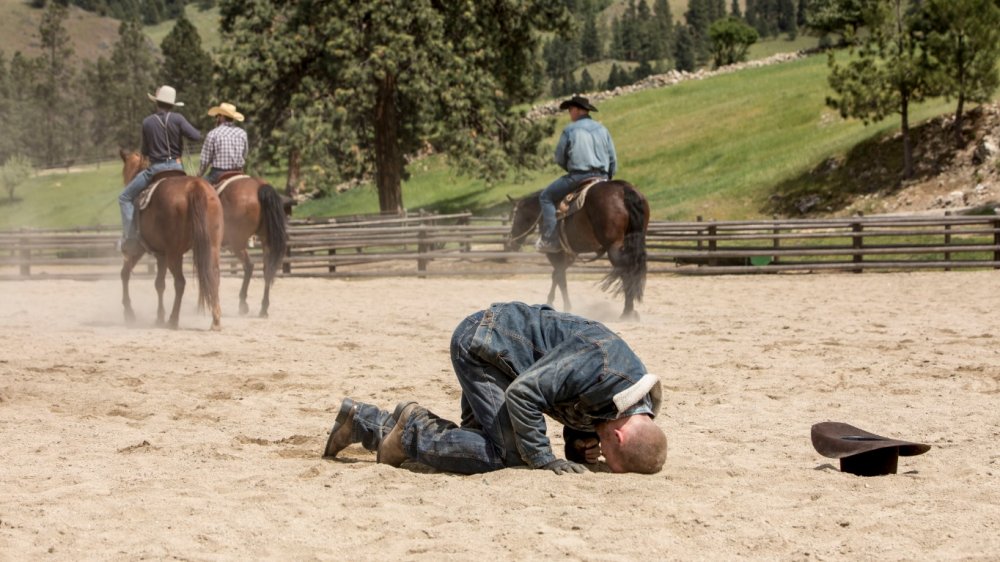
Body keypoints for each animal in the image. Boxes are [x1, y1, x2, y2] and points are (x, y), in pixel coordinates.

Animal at [119, 151, 225, 330]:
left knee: (180, 282)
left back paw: (173, 319)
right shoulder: (160, 254)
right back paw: (215, 321)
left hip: (173, 254)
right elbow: (159, 284)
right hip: (211, 247)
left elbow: (125, 274)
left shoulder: (140, 248)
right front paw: (159, 317)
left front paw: (129, 314)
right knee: (214, 276)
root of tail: (195, 186)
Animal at [212, 173, 288, 318]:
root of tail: (259, 186)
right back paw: (263, 309)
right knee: (267, 269)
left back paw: (243, 304)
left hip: (237, 243)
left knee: (249, 266)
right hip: (265, 241)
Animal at [504, 180, 652, 318]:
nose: (510, 244)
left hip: (614, 247)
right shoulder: (569, 254)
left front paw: (557, 304)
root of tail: (623, 188)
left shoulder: (556, 253)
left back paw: (627, 312)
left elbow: (558, 276)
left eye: (514, 216)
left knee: (626, 272)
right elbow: (558, 275)